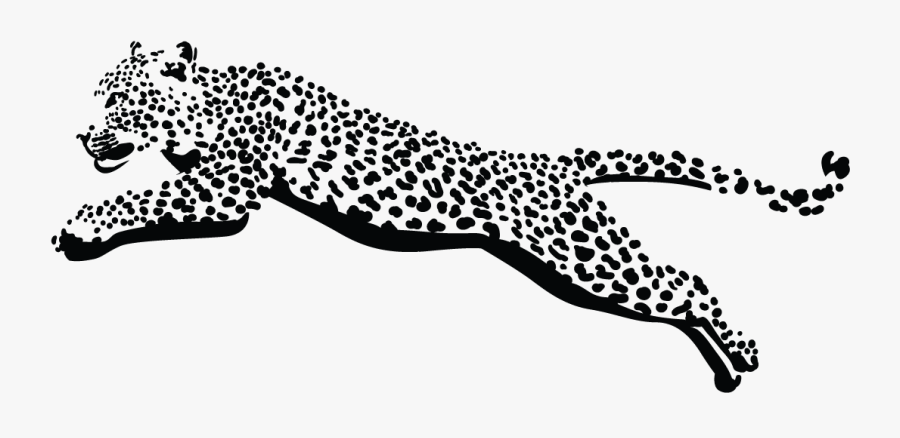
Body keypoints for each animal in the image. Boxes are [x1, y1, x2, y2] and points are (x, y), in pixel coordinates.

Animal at [52, 41, 851, 392]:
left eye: (116, 100)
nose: (81, 136)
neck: (209, 100)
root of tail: (553, 160)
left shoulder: (227, 190)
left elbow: (143, 197)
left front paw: (81, 224)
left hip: (589, 256)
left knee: (687, 280)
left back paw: (743, 351)